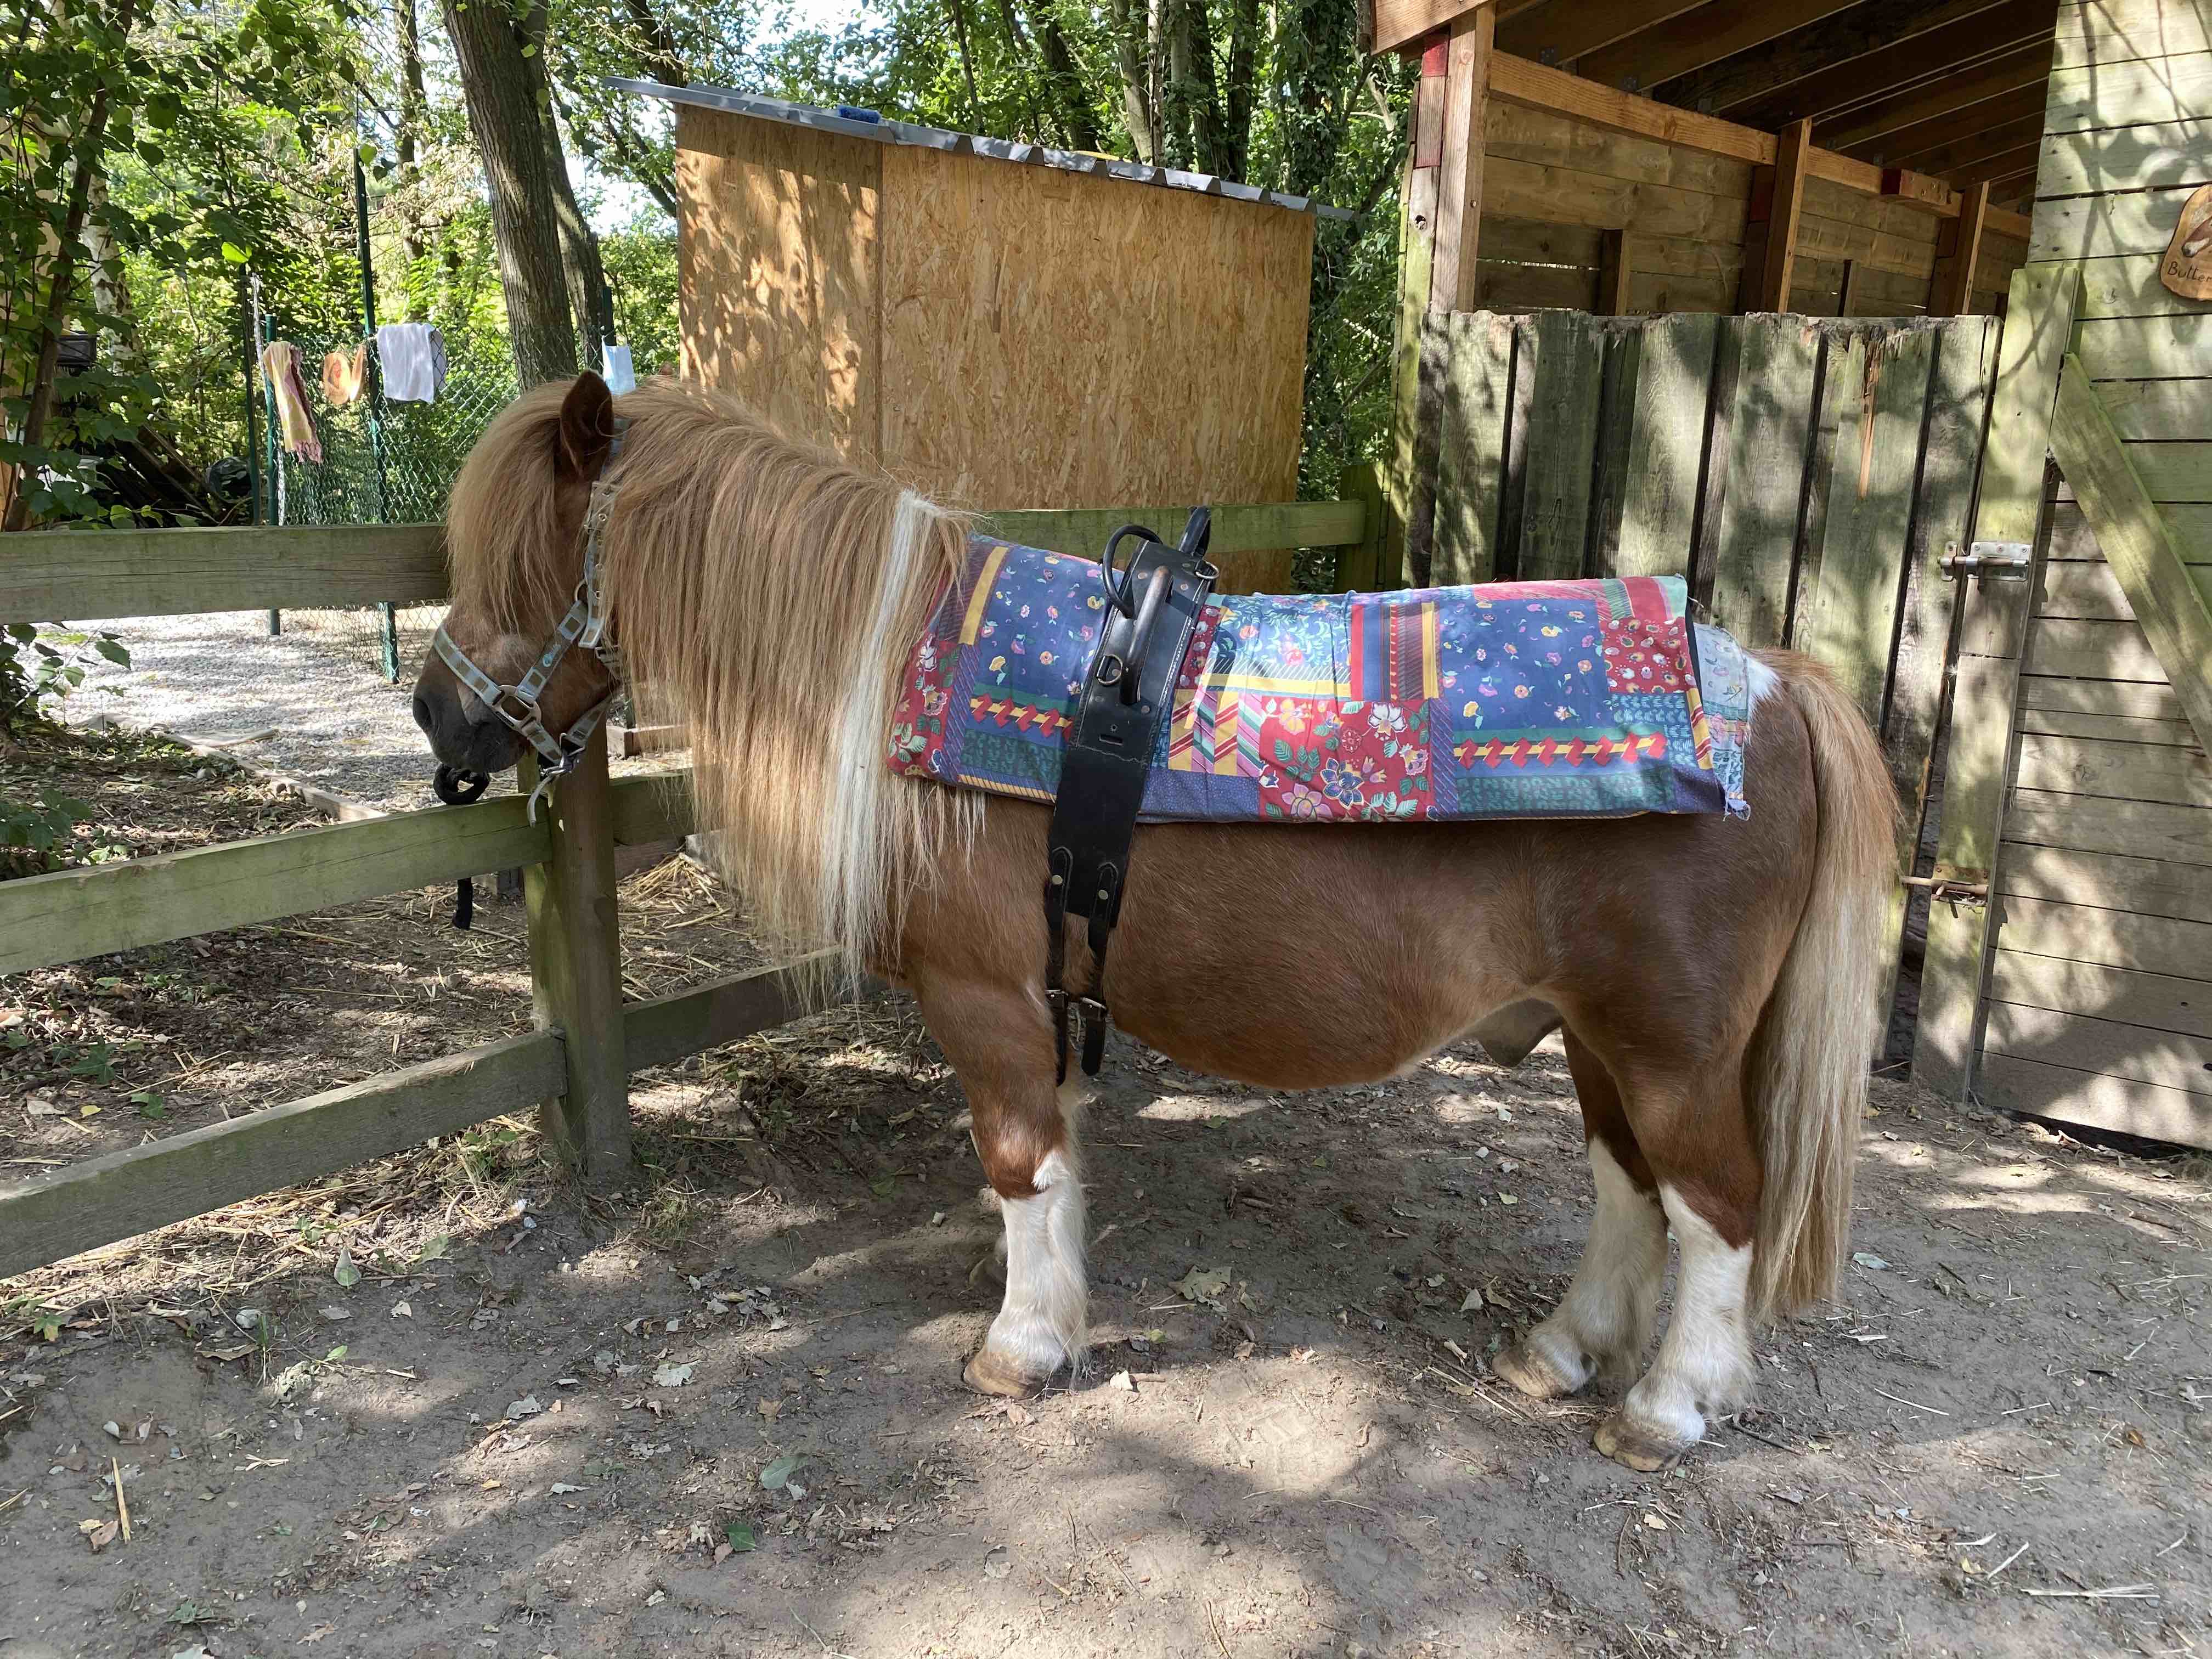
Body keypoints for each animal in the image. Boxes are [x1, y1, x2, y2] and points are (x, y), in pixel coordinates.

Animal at [412, 371, 1898, 1472]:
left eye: (523, 558)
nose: (435, 721)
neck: (906, 677)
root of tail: (1774, 683)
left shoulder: (984, 999)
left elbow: (1020, 1161)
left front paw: (1019, 1345)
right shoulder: (1049, 992)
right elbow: (1058, 1160)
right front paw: (1045, 1295)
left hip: (1671, 1047)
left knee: (1717, 1209)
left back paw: (1669, 1405)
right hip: (1604, 1039)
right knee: (1629, 1188)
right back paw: (1568, 1347)